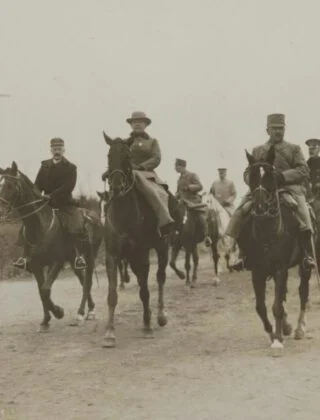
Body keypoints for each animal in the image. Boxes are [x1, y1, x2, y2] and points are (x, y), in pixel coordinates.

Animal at [0, 162, 102, 330]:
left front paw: (58, 312)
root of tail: (94, 217)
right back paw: (91, 309)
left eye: (9, 185)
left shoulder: (56, 262)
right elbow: (41, 292)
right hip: (74, 259)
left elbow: (45, 290)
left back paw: (81, 313)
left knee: (87, 282)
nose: (1, 212)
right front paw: (46, 321)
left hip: (90, 256)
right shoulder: (36, 265)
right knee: (82, 280)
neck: (40, 225)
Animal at [102, 135, 179, 348]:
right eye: (109, 155)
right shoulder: (112, 256)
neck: (124, 214)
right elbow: (112, 295)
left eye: (127, 156)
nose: (117, 187)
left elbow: (145, 291)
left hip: (162, 248)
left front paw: (147, 326)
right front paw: (109, 333)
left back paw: (160, 315)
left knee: (160, 278)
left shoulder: (142, 254)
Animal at [239, 148, 314, 354]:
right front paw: (273, 334)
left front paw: (278, 340)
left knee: (303, 292)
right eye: (252, 176)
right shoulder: (257, 271)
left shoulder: (281, 268)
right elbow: (261, 307)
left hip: (305, 265)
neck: (267, 231)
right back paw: (288, 326)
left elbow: (277, 306)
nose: (260, 207)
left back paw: (300, 328)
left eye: (271, 176)